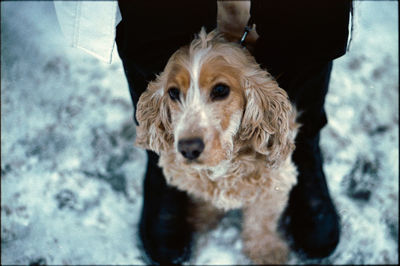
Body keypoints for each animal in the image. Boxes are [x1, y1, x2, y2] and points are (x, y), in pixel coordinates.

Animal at [136, 28, 298, 264]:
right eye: (173, 92)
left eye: (221, 90)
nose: (188, 148)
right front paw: (201, 218)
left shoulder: (276, 182)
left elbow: (261, 219)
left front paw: (266, 250)